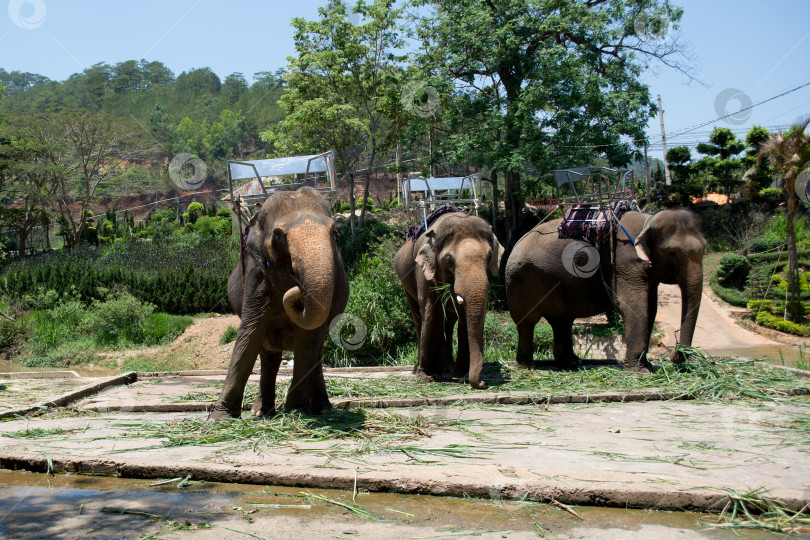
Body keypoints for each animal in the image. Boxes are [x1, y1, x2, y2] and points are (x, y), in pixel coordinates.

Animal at [207, 188, 346, 420]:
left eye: (334, 232)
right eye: (278, 236)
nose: (298, 289)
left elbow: (307, 338)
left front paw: (296, 411)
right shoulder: (257, 276)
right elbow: (249, 333)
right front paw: (220, 418)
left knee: (315, 354)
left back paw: (322, 409)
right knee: (268, 354)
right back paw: (260, 412)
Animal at [392, 211, 498, 388]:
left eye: (490, 257)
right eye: (448, 260)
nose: (482, 383)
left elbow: (463, 318)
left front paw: (461, 376)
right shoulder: (423, 272)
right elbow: (431, 312)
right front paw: (427, 377)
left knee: (448, 322)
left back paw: (447, 368)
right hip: (406, 283)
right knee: (420, 319)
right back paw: (424, 368)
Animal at [502, 208, 704, 372]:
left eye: (704, 250)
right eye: (673, 253)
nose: (675, 356)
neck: (647, 220)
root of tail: (515, 245)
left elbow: (651, 308)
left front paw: (646, 366)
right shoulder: (625, 264)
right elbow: (633, 306)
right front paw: (640, 371)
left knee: (562, 321)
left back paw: (571, 363)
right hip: (521, 281)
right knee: (528, 322)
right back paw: (527, 366)